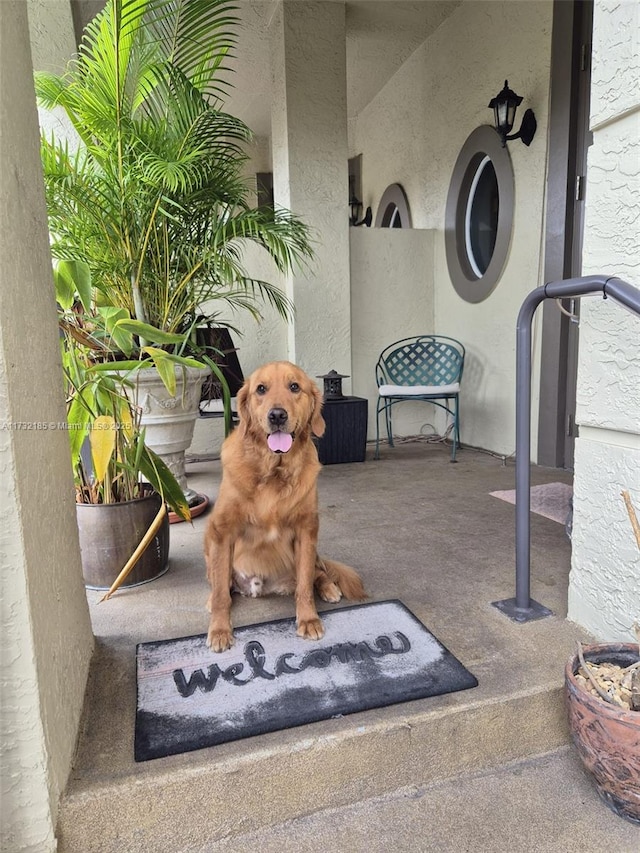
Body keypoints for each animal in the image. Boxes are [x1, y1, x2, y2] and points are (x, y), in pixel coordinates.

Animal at [205, 362, 364, 652]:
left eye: (294, 387)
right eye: (261, 389)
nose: (277, 415)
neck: (273, 472)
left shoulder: (307, 530)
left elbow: (304, 586)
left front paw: (309, 619)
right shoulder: (222, 531)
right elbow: (222, 592)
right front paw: (220, 630)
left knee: (317, 573)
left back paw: (329, 588)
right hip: (208, 538)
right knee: (219, 581)